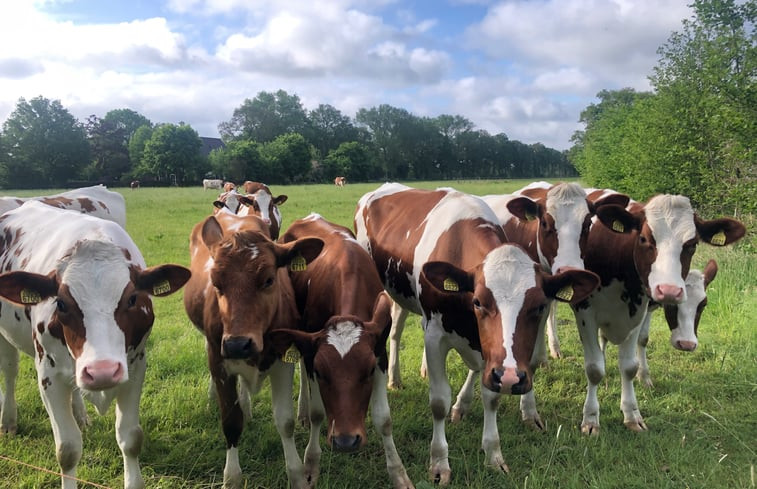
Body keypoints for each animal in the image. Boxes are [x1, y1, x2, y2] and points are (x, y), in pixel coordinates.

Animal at [0, 199, 189, 488]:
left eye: (132, 298)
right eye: (61, 303)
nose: (102, 371)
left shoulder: (135, 369)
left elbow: (131, 438)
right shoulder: (48, 376)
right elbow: (67, 449)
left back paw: (80, 415)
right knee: (10, 372)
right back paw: (9, 420)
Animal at [184, 211, 324, 488]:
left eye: (269, 279)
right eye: (216, 283)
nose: (238, 344)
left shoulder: (282, 362)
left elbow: (285, 421)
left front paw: (296, 475)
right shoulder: (220, 362)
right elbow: (231, 421)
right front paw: (232, 478)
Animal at [270, 213, 414, 488]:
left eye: (367, 372)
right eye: (322, 373)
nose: (346, 441)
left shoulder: (379, 352)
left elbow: (384, 418)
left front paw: (399, 474)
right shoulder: (311, 353)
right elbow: (318, 413)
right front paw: (311, 464)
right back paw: (302, 411)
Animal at [352, 183, 600, 484]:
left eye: (540, 306)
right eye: (479, 301)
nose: (511, 376)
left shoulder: (491, 354)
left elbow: (491, 397)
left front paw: (493, 455)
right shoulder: (435, 335)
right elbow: (438, 401)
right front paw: (439, 463)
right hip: (388, 292)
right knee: (396, 332)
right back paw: (395, 378)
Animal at [568, 194, 744, 434]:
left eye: (692, 244)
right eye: (643, 238)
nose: (687, 344)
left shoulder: (640, 310)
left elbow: (632, 361)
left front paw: (633, 412)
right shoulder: (584, 310)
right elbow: (594, 368)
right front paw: (591, 419)